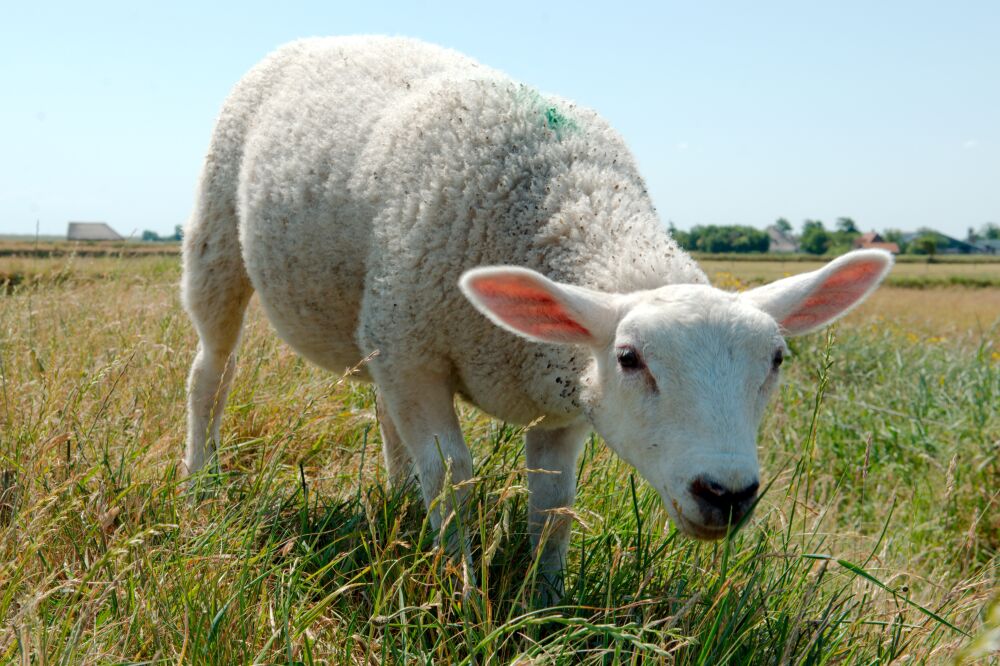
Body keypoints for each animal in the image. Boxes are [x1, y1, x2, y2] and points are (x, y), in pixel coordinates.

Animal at [184, 35, 896, 596]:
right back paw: (199, 483)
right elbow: (454, 478)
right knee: (211, 372)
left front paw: (545, 603)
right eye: (629, 358)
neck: (570, 202)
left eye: (776, 360)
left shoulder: (562, 397)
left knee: (385, 414)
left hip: (376, 331)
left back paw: (398, 504)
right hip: (220, 235)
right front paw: (461, 594)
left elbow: (555, 504)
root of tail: (331, 34)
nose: (727, 493)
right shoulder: (416, 352)